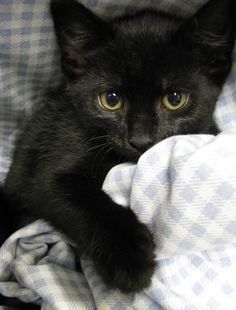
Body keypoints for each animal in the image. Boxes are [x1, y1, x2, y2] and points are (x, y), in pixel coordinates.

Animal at [2, 0, 235, 294]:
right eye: (111, 100)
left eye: (174, 99)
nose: (141, 140)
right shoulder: (50, 162)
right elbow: (83, 203)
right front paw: (130, 258)